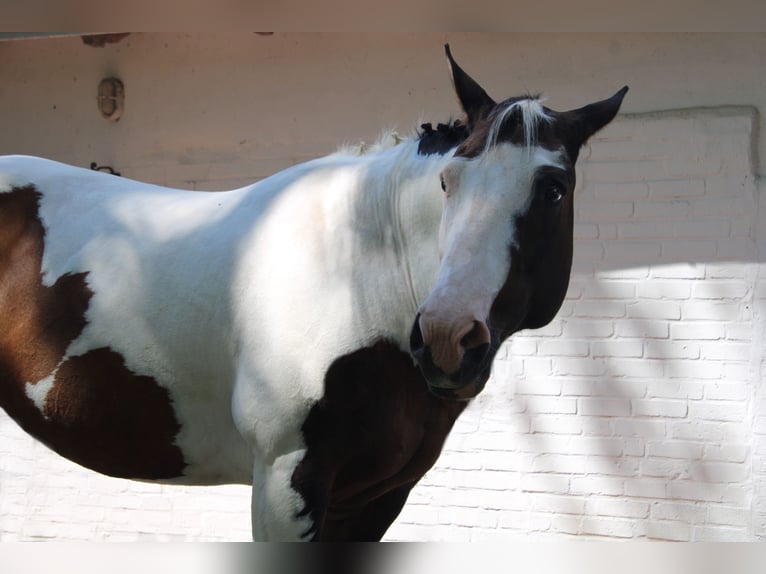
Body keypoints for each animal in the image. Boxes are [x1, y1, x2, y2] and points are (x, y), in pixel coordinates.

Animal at [0, 46, 628, 544]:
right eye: (448, 182)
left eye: (553, 189)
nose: (446, 337)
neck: (355, 278)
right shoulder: (286, 482)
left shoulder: (377, 497)